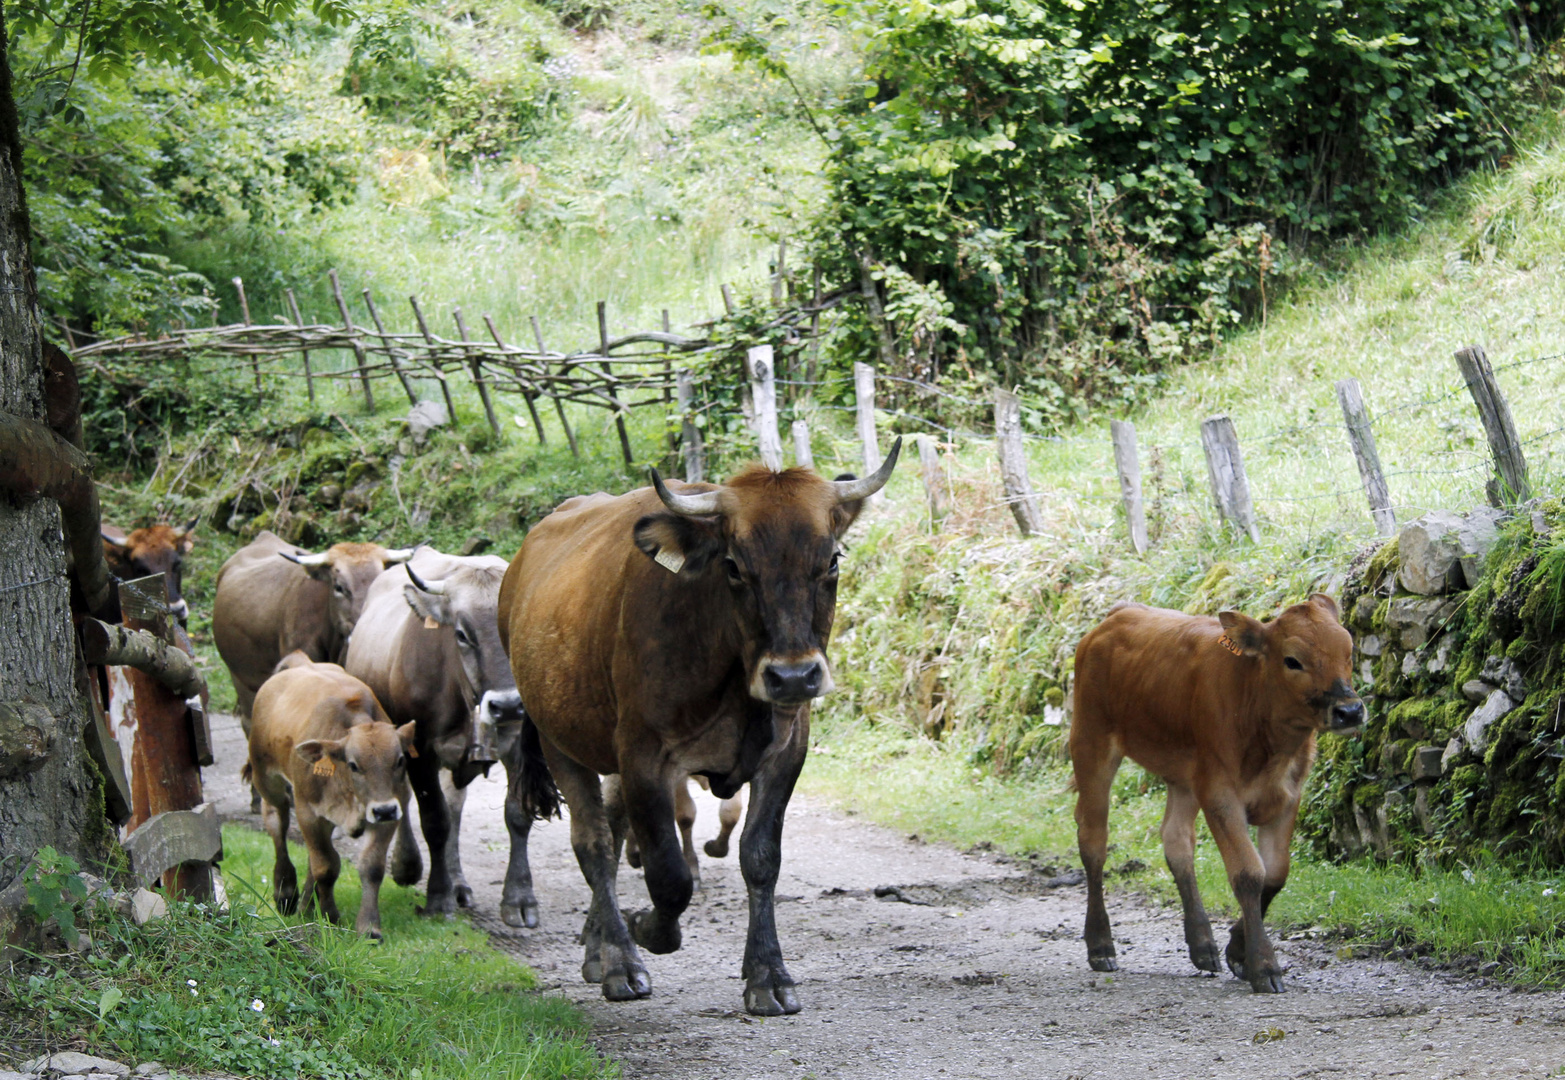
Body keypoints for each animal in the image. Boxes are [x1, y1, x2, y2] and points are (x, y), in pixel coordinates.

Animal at [241, 648, 422, 932]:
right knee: (277, 823)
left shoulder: (392, 812)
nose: (383, 810)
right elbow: (326, 867)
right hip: (266, 779)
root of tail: (301, 662)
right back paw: (286, 892)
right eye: (353, 764)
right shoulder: (308, 812)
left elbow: (370, 867)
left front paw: (369, 927)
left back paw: (305, 906)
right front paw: (330, 917)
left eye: (400, 760)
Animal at [494, 438, 901, 1008]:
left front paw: (768, 974)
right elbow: (669, 874)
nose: (793, 676)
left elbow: (760, 857)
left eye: (832, 561)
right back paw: (617, 960)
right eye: (733, 565)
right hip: (560, 741)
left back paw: (598, 944)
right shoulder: (644, 757)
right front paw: (648, 929)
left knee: (612, 834)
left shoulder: (786, 751)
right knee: (593, 843)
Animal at [1070, 591, 1364, 989]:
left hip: (1184, 774)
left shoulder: (1288, 795)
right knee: (1094, 841)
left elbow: (1275, 873)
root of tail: (1119, 614)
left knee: (1176, 839)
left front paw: (1237, 952)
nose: (1349, 711)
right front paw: (1263, 965)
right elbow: (1248, 872)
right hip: (1091, 742)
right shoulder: (1220, 792)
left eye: (1349, 651)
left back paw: (1202, 944)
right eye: (1293, 660)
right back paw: (1101, 945)